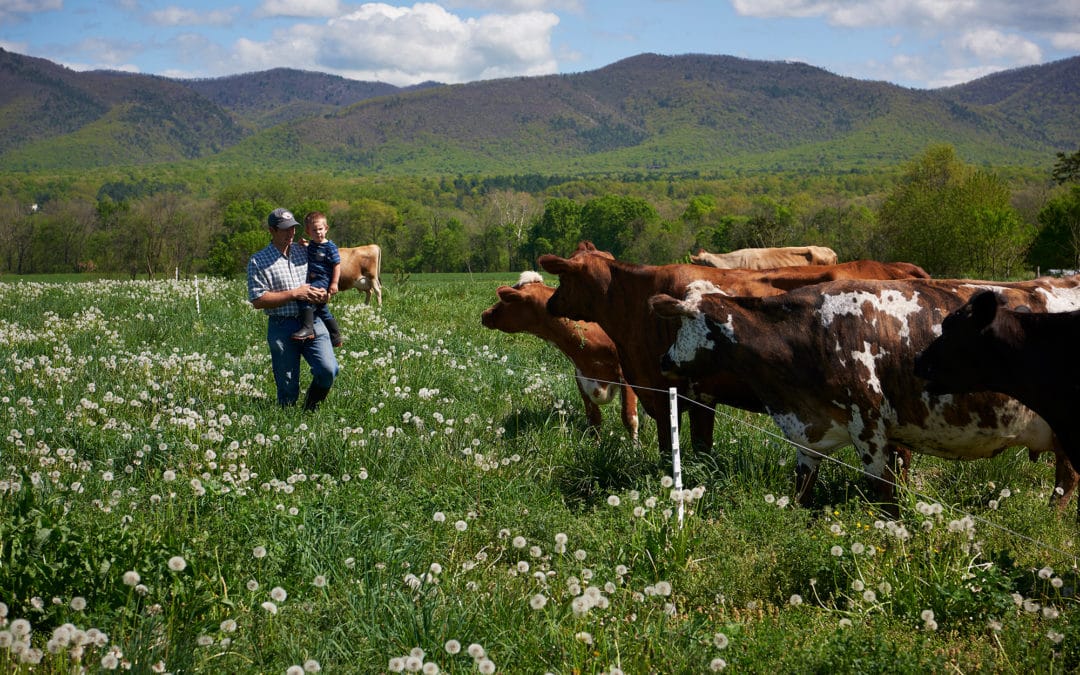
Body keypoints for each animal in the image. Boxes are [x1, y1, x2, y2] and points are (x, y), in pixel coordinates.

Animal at [481, 271, 639, 440]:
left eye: (506, 300)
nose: (484, 314)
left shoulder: (627, 378)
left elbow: (629, 418)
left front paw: (634, 446)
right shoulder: (580, 376)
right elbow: (594, 418)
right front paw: (596, 443)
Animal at [537, 239, 928, 460]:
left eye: (563, 277)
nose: (551, 304)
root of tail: (891, 267)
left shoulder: (667, 393)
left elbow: (670, 446)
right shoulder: (697, 394)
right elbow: (701, 445)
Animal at [648, 276, 1080, 514]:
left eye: (682, 322)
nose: (663, 360)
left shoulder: (870, 430)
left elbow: (886, 498)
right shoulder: (809, 434)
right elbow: (801, 491)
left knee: (1066, 482)